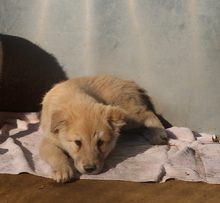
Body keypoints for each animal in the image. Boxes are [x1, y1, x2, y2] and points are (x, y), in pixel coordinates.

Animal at [39, 74, 170, 182]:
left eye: (100, 142)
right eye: (78, 143)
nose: (89, 169)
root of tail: (129, 83)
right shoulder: (48, 142)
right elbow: (57, 155)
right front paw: (62, 170)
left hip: (129, 115)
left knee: (149, 114)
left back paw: (158, 134)